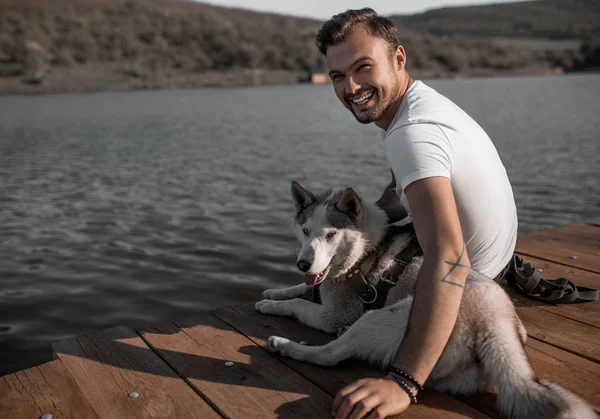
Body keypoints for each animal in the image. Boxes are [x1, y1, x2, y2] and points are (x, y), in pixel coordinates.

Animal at [255, 180, 596, 419]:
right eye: (304, 230)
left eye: (330, 235)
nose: (302, 264)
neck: (364, 249)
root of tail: (497, 322)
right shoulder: (320, 285)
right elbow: (300, 291)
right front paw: (273, 294)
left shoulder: (338, 313)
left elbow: (300, 304)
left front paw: (276, 305)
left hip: (380, 318)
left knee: (329, 354)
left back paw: (288, 346)